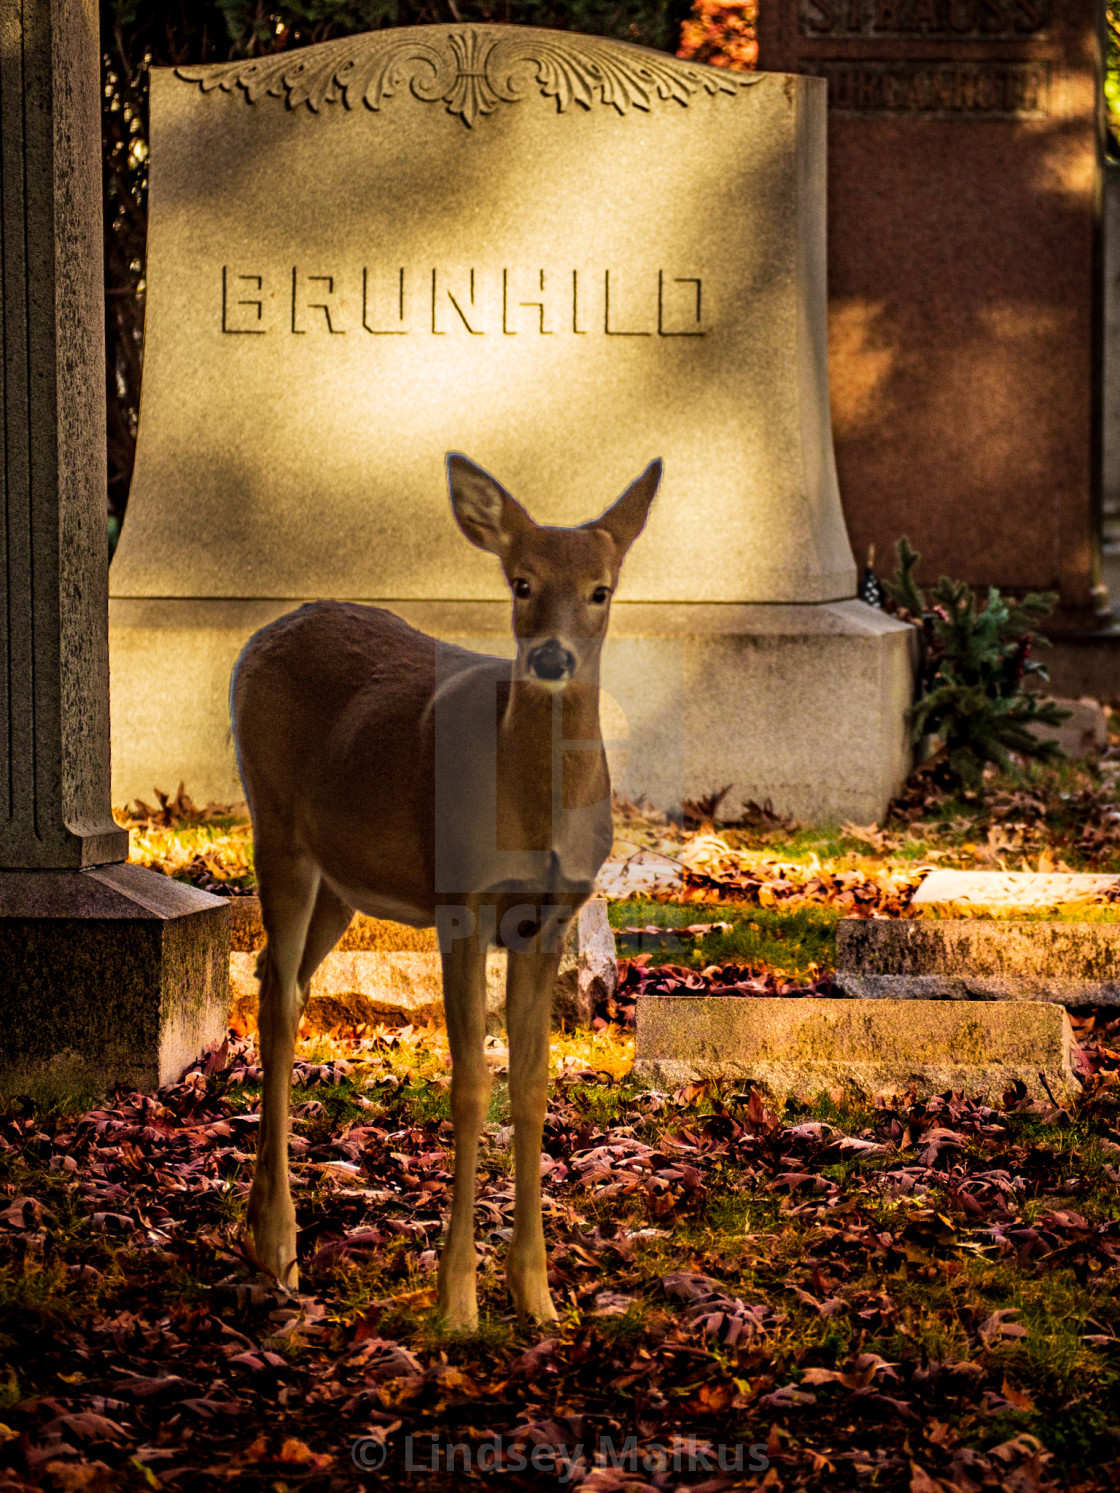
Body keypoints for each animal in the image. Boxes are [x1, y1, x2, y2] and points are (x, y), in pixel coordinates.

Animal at [231, 447, 663, 1325]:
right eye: (521, 581)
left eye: (601, 588)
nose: (552, 658)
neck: (532, 814)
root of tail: (258, 638)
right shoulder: (461, 902)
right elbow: (469, 1084)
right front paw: (458, 1303)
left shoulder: (550, 916)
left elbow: (531, 1085)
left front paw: (537, 1296)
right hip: (277, 824)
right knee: (281, 1001)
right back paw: (283, 1242)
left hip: (343, 877)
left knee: (276, 978)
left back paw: (264, 1232)